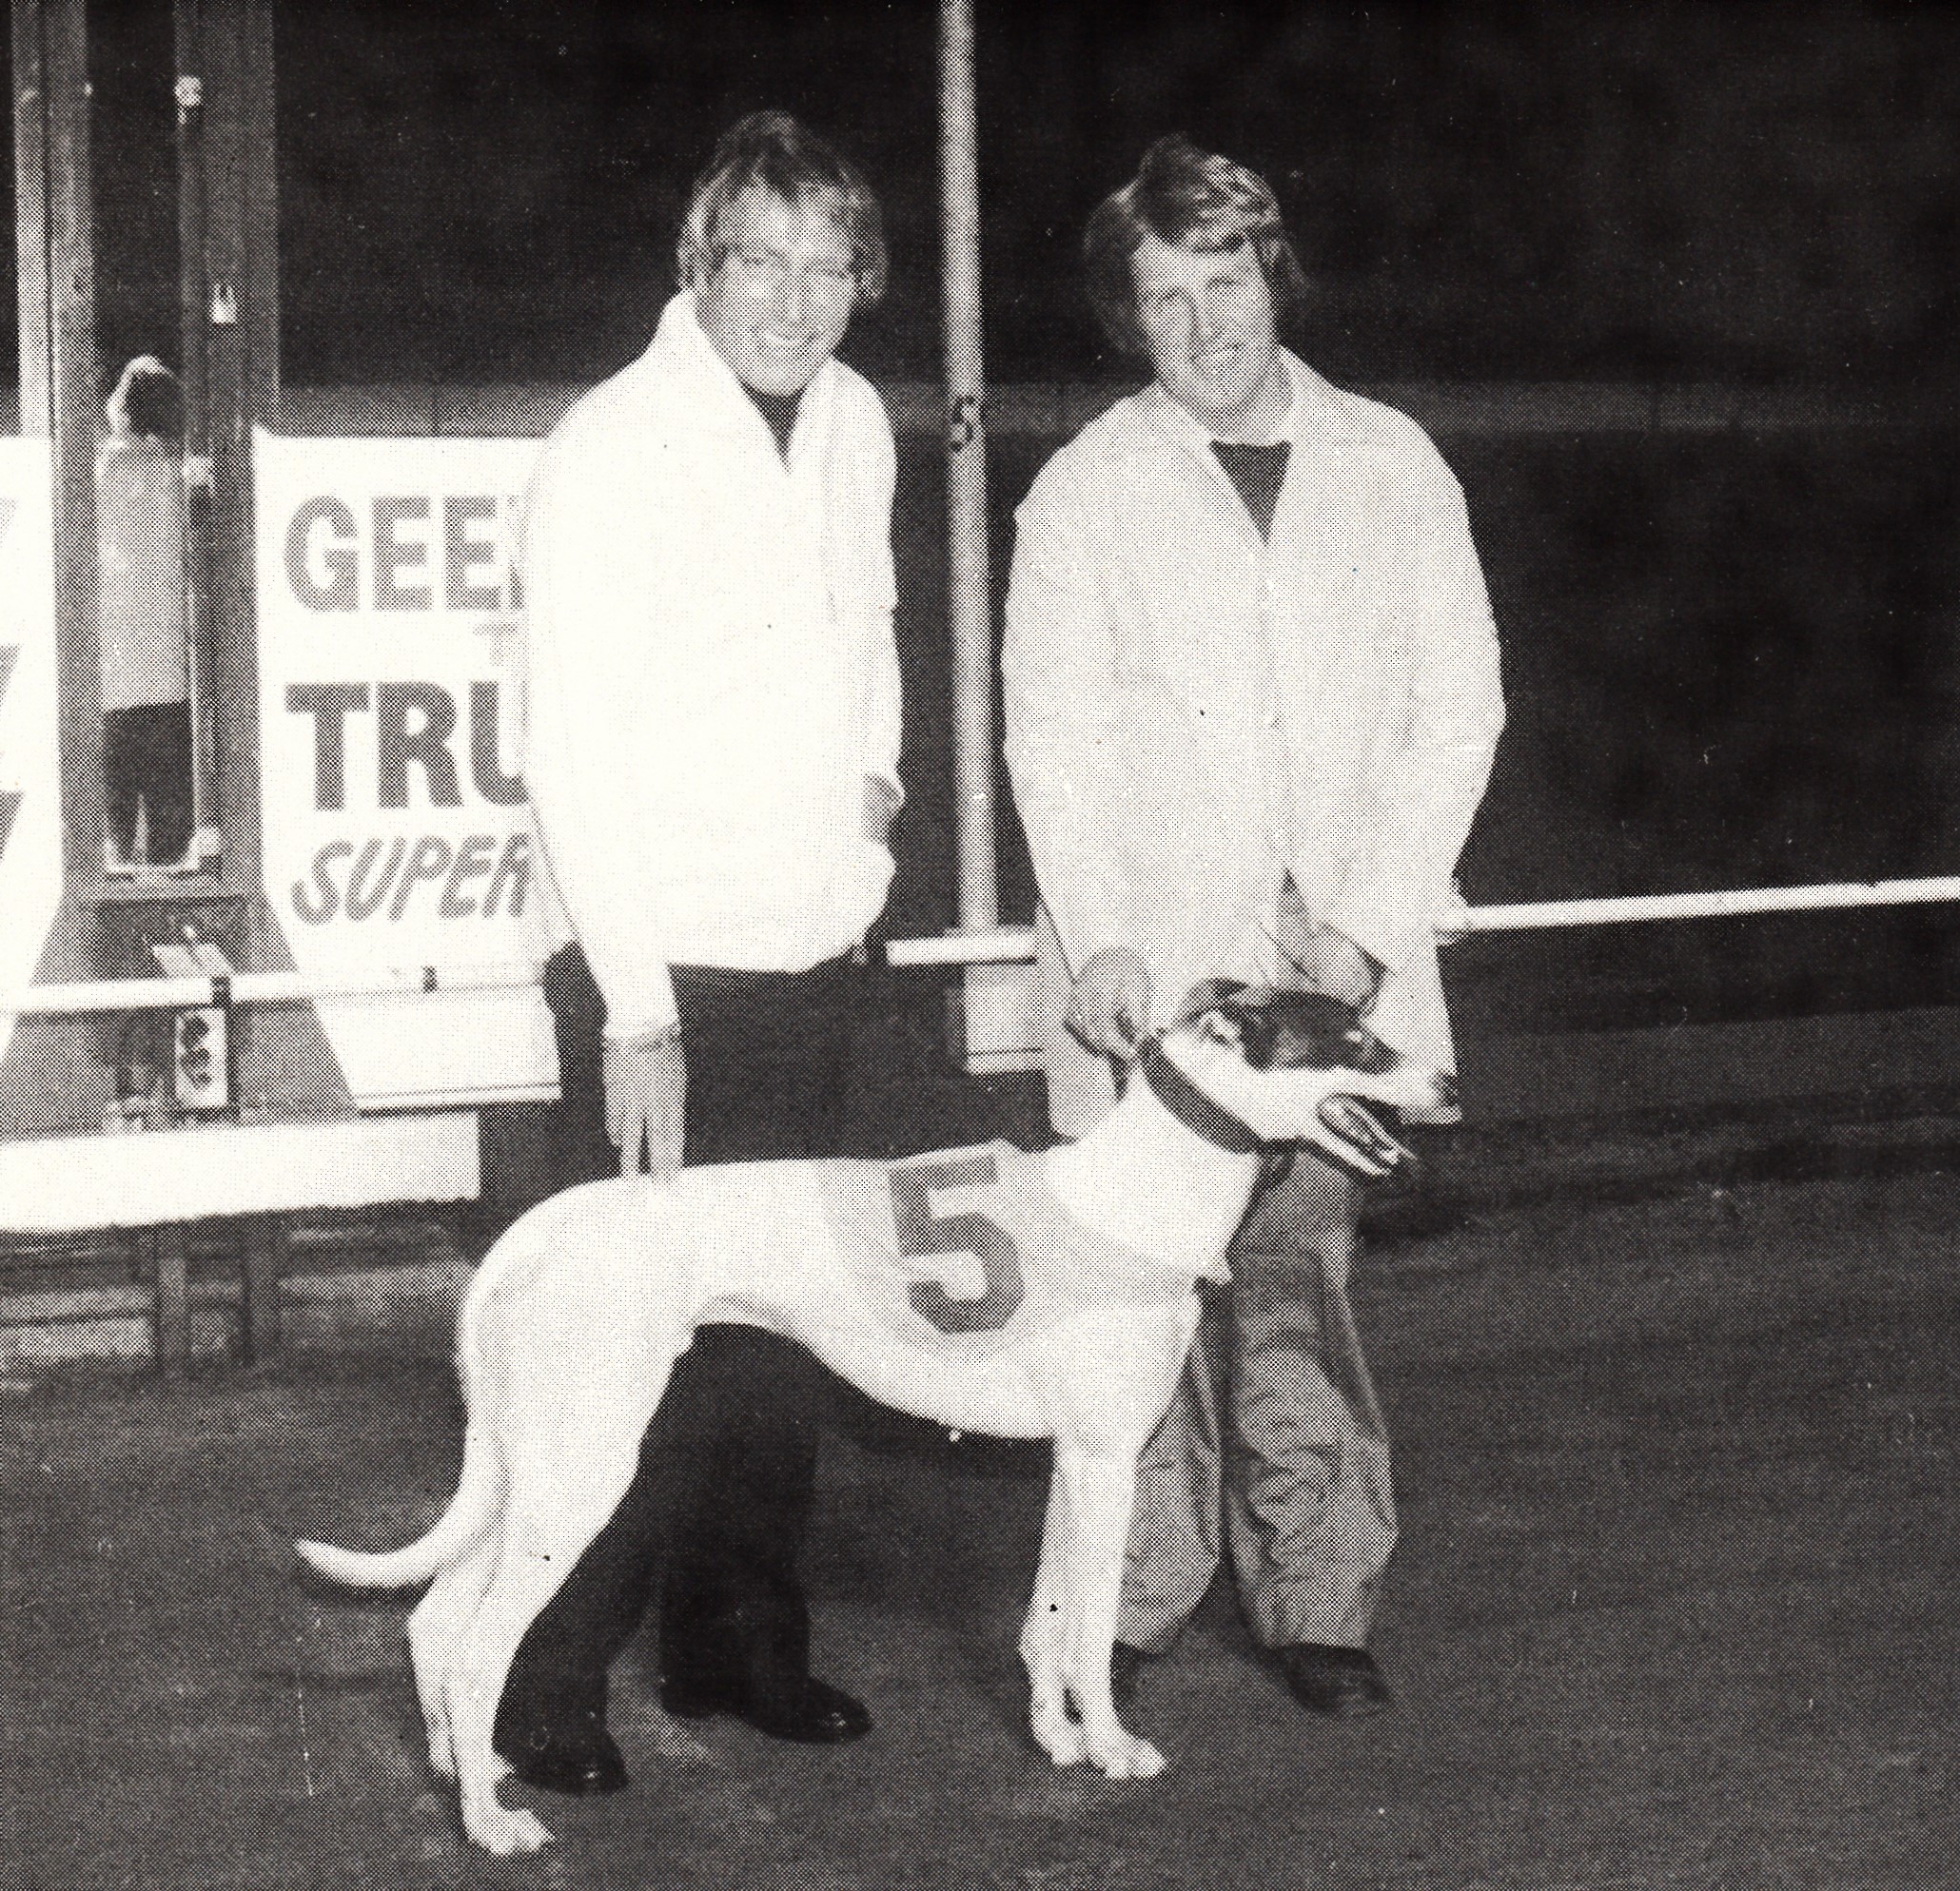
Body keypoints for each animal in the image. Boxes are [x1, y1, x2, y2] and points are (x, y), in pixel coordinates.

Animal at [295, 984, 1452, 1854]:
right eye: (1356, 1043)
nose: (1445, 1081)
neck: (1134, 1192)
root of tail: (534, 1229)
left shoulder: (1072, 1466)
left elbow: (1047, 1617)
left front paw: (1054, 1739)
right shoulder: (1109, 1459)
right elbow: (1086, 1630)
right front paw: (1112, 1748)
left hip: (525, 1466)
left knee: (433, 1622)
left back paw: (464, 1770)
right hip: (582, 1472)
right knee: (480, 1645)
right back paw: (492, 1825)